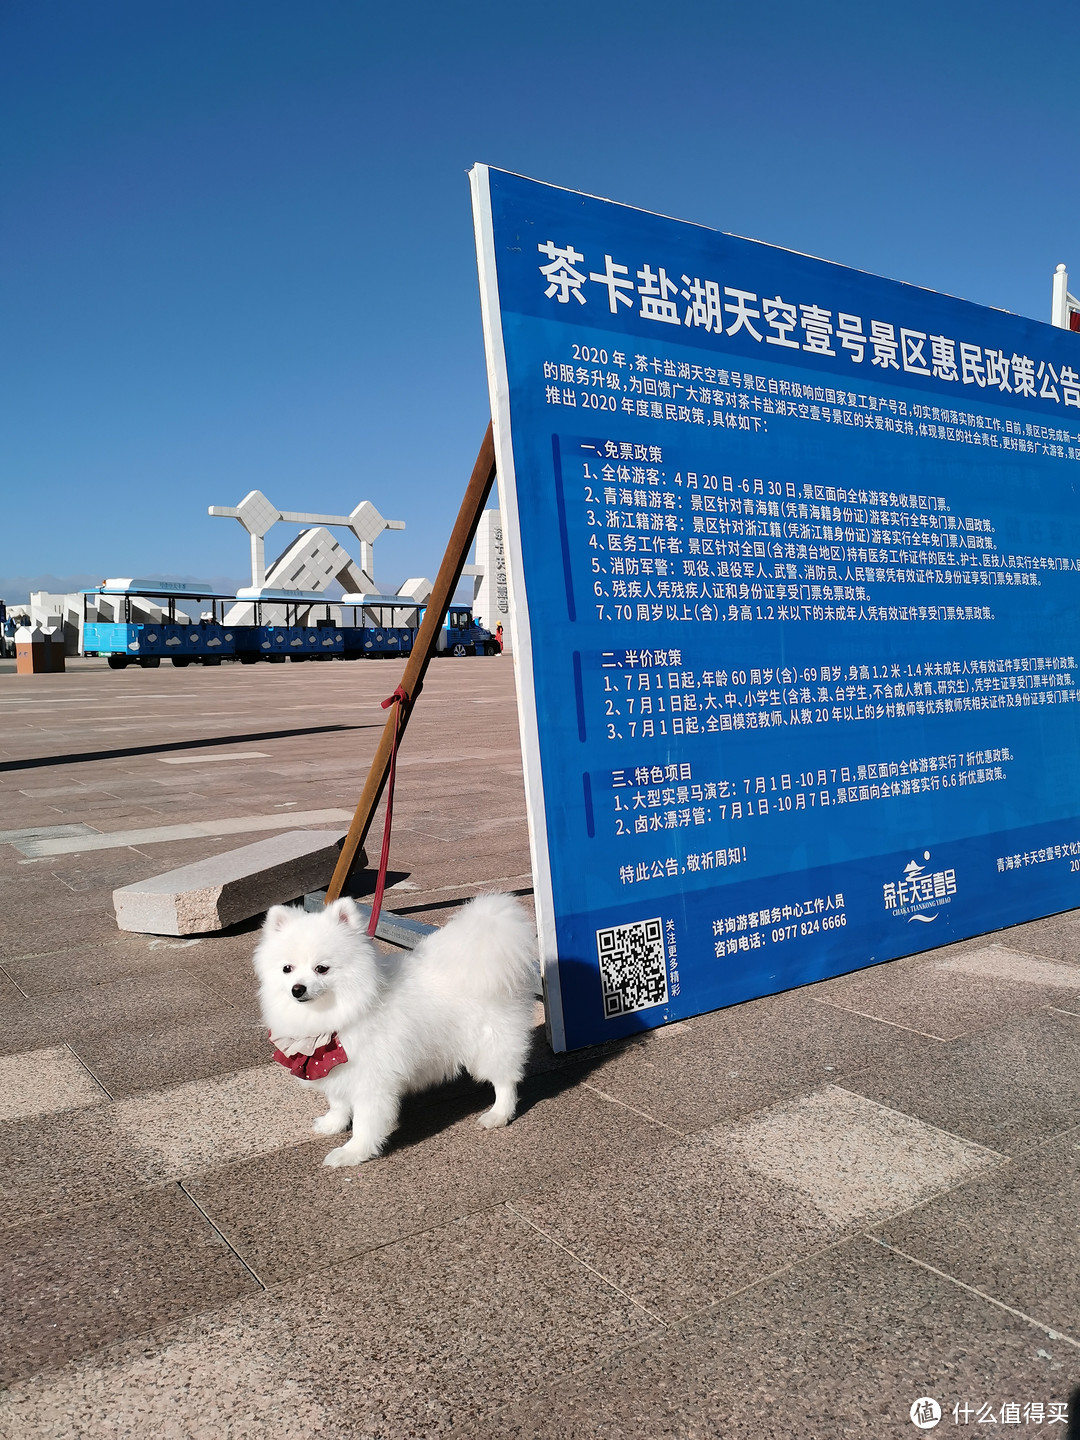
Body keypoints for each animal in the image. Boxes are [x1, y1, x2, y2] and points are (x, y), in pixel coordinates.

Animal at [254, 892, 541, 1163]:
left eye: (322, 968)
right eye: (287, 969)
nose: (297, 989)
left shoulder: (371, 1080)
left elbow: (364, 1122)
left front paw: (353, 1152)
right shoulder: (335, 1068)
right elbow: (338, 1103)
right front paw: (333, 1124)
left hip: (491, 1042)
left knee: (505, 1080)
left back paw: (499, 1114)